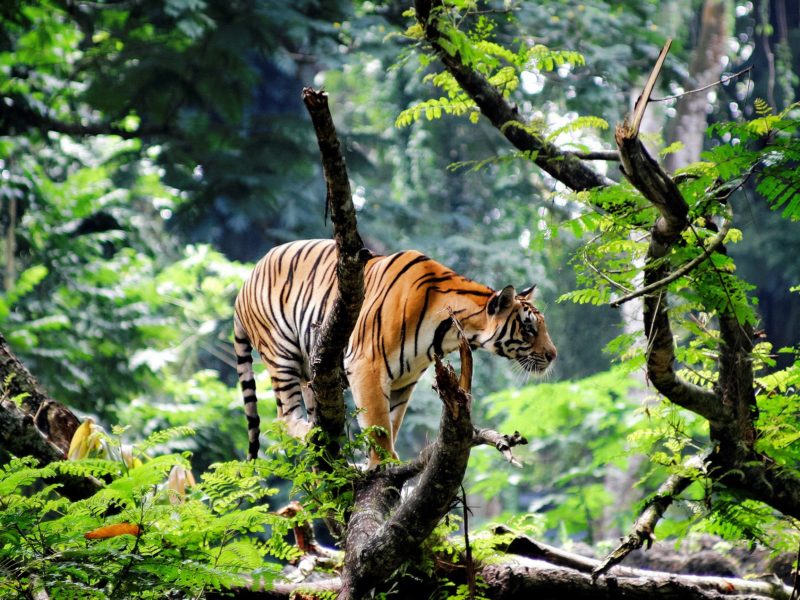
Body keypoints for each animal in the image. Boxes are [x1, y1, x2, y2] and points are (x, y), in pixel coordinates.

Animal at [231, 239, 556, 464]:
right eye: (529, 329)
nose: (553, 355)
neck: (449, 332)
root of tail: (245, 280)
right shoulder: (367, 365)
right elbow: (377, 423)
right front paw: (382, 463)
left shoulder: (404, 380)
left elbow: (393, 421)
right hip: (281, 353)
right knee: (283, 418)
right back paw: (312, 434)